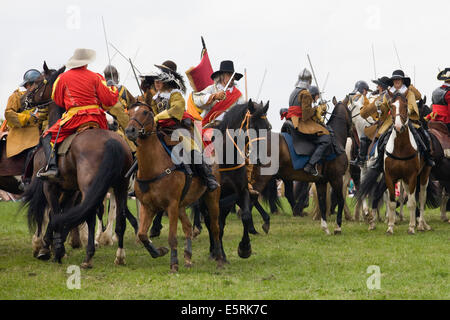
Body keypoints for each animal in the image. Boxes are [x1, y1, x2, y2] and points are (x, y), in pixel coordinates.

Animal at [21, 63, 134, 268]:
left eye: (38, 82)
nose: (25, 99)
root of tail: (112, 142)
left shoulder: (50, 187)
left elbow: (54, 213)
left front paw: (49, 249)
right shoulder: (70, 190)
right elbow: (60, 214)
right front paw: (54, 246)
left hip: (91, 188)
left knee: (90, 214)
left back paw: (88, 257)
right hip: (120, 186)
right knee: (120, 217)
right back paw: (119, 256)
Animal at [125, 101, 225, 272]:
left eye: (145, 112)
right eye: (130, 112)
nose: (130, 130)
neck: (154, 166)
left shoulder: (171, 205)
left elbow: (172, 237)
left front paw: (173, 264)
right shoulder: (147, 206)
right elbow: (142, 234)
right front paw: (159, 251)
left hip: (211, 198)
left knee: (215, 227)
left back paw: (219, 259)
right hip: (181, 205)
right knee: (188, 227)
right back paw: (188, 258)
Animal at [356, 91, 434, 234]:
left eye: (406, 106)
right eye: (391, 107)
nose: (398, 126)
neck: (400, 147)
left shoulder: (412, 176)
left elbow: (412, 202)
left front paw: (411, 227)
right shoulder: (389, 176)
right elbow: (392, 202)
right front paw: (390, 226)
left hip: (424, 173)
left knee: (421, 197)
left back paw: (421, 224)